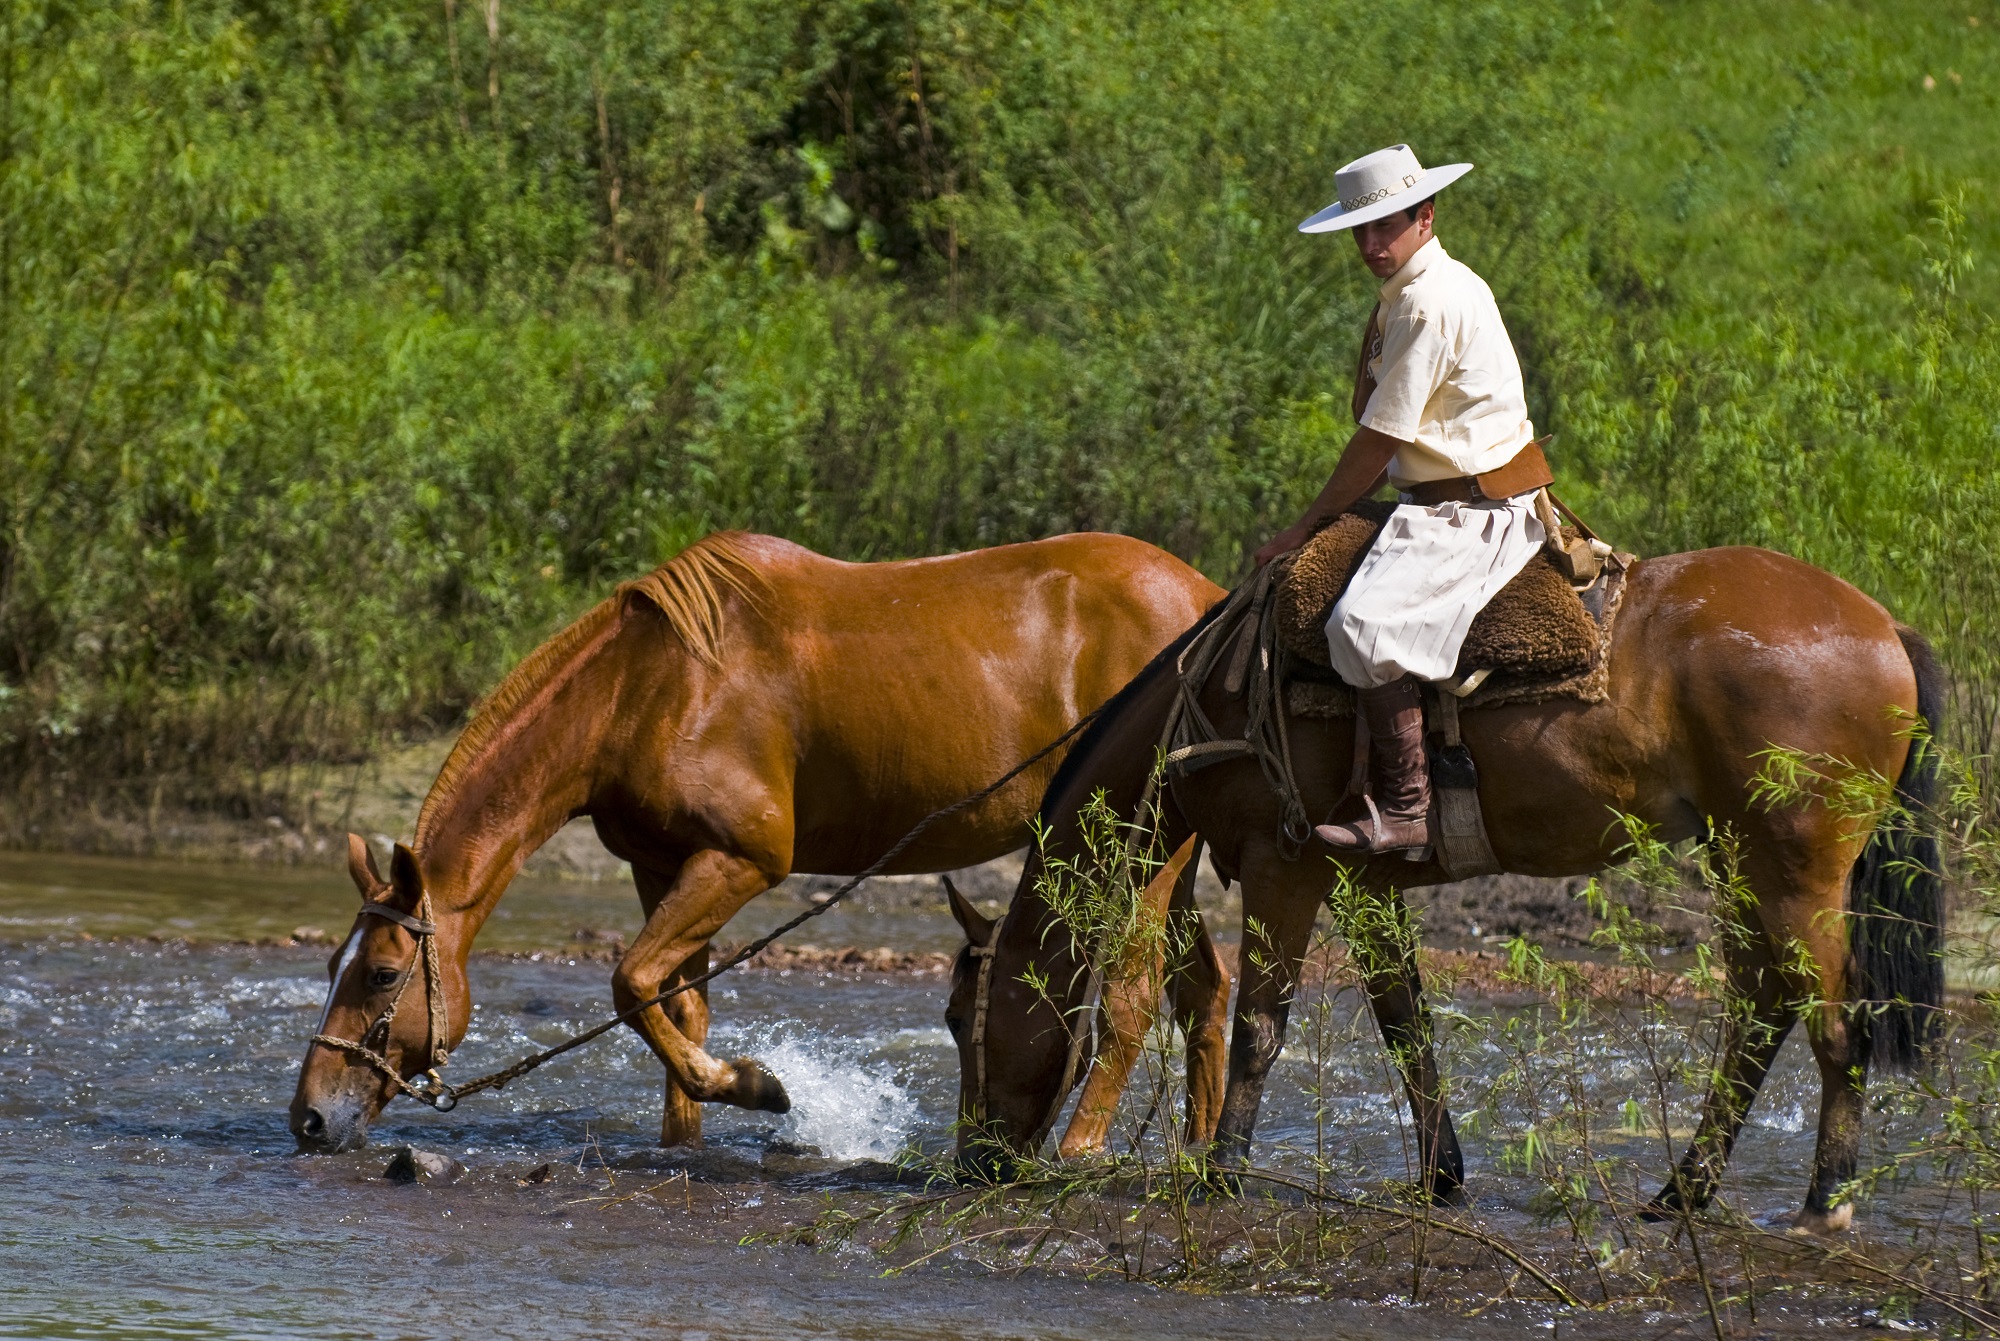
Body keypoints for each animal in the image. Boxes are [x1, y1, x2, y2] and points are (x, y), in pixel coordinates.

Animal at [292, 532, 1216, 1152]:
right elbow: (676, 1003)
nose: (308, 1116)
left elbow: (631, 983)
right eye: (334, 963)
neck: (647, 690)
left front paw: (756, 1085)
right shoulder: (662, 864)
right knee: (1207, 990)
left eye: (382, 974)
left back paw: (1082, 1149)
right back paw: (1205, 1160)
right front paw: (686, 1138)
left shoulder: (743, 861)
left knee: (1134, 998)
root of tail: (1207, 599)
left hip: (1141, 850)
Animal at [952, 548, 1936, 1240]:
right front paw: (1440, 1176)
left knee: (1832, 1020)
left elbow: (1261, 1025)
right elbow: (1407, 1026)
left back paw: (1823, 1200)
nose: (973, 1163)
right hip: (1739, 859)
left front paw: (1222, 1171)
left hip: (1794, 870)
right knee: (1759, 1006)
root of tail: (1884, 624)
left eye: (973, 1019)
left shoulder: (1285, 870)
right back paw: (1683, 1188)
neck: (1211, 712)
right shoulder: (1364, 885)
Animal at [1256, 144, 1552, 860]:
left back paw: (1400, 820)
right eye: (1365, 229)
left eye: (1386, 223)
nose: (1372, 244)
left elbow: (1375, 437)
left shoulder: (1419, 333)